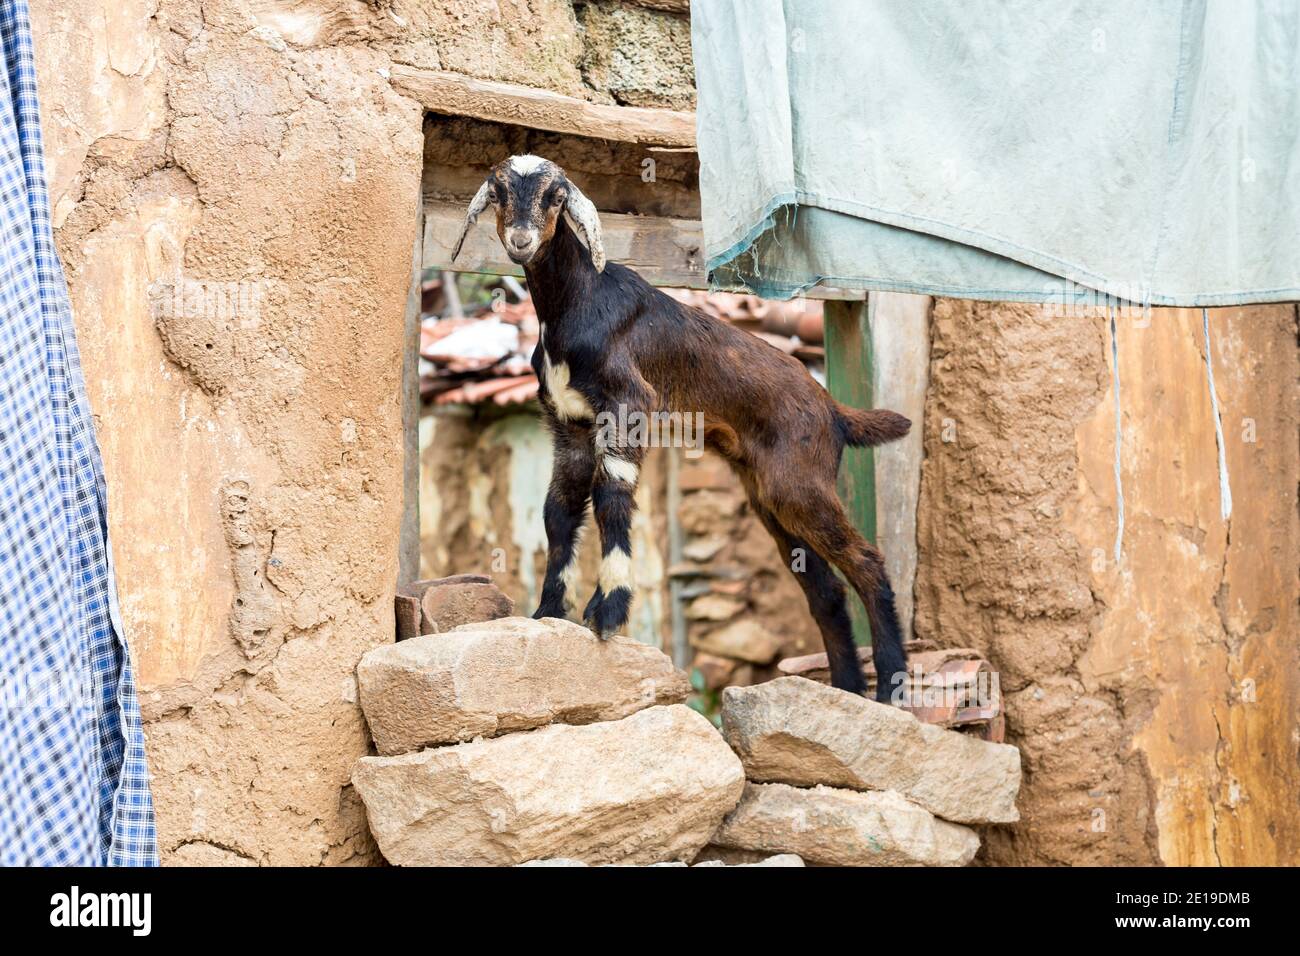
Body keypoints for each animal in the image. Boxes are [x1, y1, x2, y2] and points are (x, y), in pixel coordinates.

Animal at [453, 155, 911, 701]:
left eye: (557, 197)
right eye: (498, 193)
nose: (521, 240)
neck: (576, 304)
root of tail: (833, 408)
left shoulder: (629, 405)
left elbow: (611, 500)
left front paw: (607, 613)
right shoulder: (569, 423)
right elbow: (558, 513)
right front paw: (548, 612)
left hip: (800, 481)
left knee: (867, 562)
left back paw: (891, 686)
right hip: (769, 493)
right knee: (825, 589)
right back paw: (844, 688)